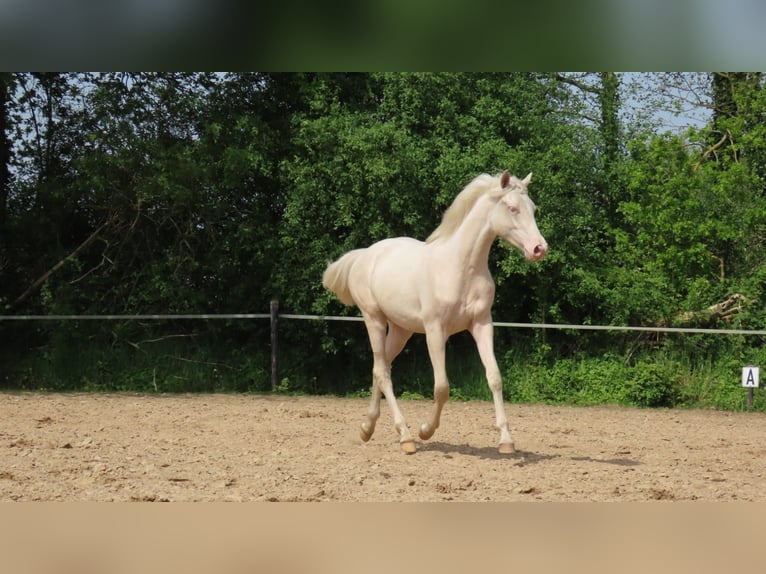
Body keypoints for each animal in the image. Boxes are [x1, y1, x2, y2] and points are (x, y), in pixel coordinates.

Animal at [320, 171, 548, 454]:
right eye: (513, 208)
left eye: (533, 209)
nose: (539, 248)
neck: (461, 267)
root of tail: (365, 255)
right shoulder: (435, 330)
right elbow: (442, 387)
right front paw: (425, 430)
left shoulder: (482, 324)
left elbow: (494, 377)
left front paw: (506, 440)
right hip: (374, 319)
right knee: (383, 373)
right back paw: (406, 437)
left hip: (401, 330)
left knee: (379, 368)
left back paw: (367, 428)